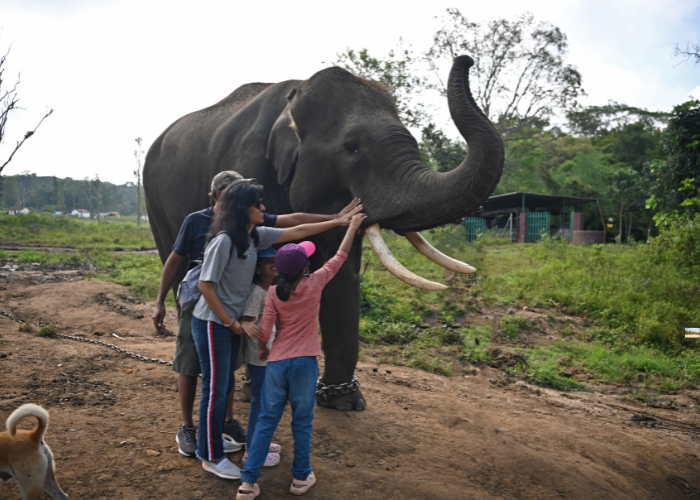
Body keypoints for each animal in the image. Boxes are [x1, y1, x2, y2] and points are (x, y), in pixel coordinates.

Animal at [143, 55, 504, 411]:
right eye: (352, 147)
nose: (466, 58)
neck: (293, 100)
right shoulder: (252, 167)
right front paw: (262, 380)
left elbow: (341, 275)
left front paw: (344, 402)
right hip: (153, 199)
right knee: (175, 263)